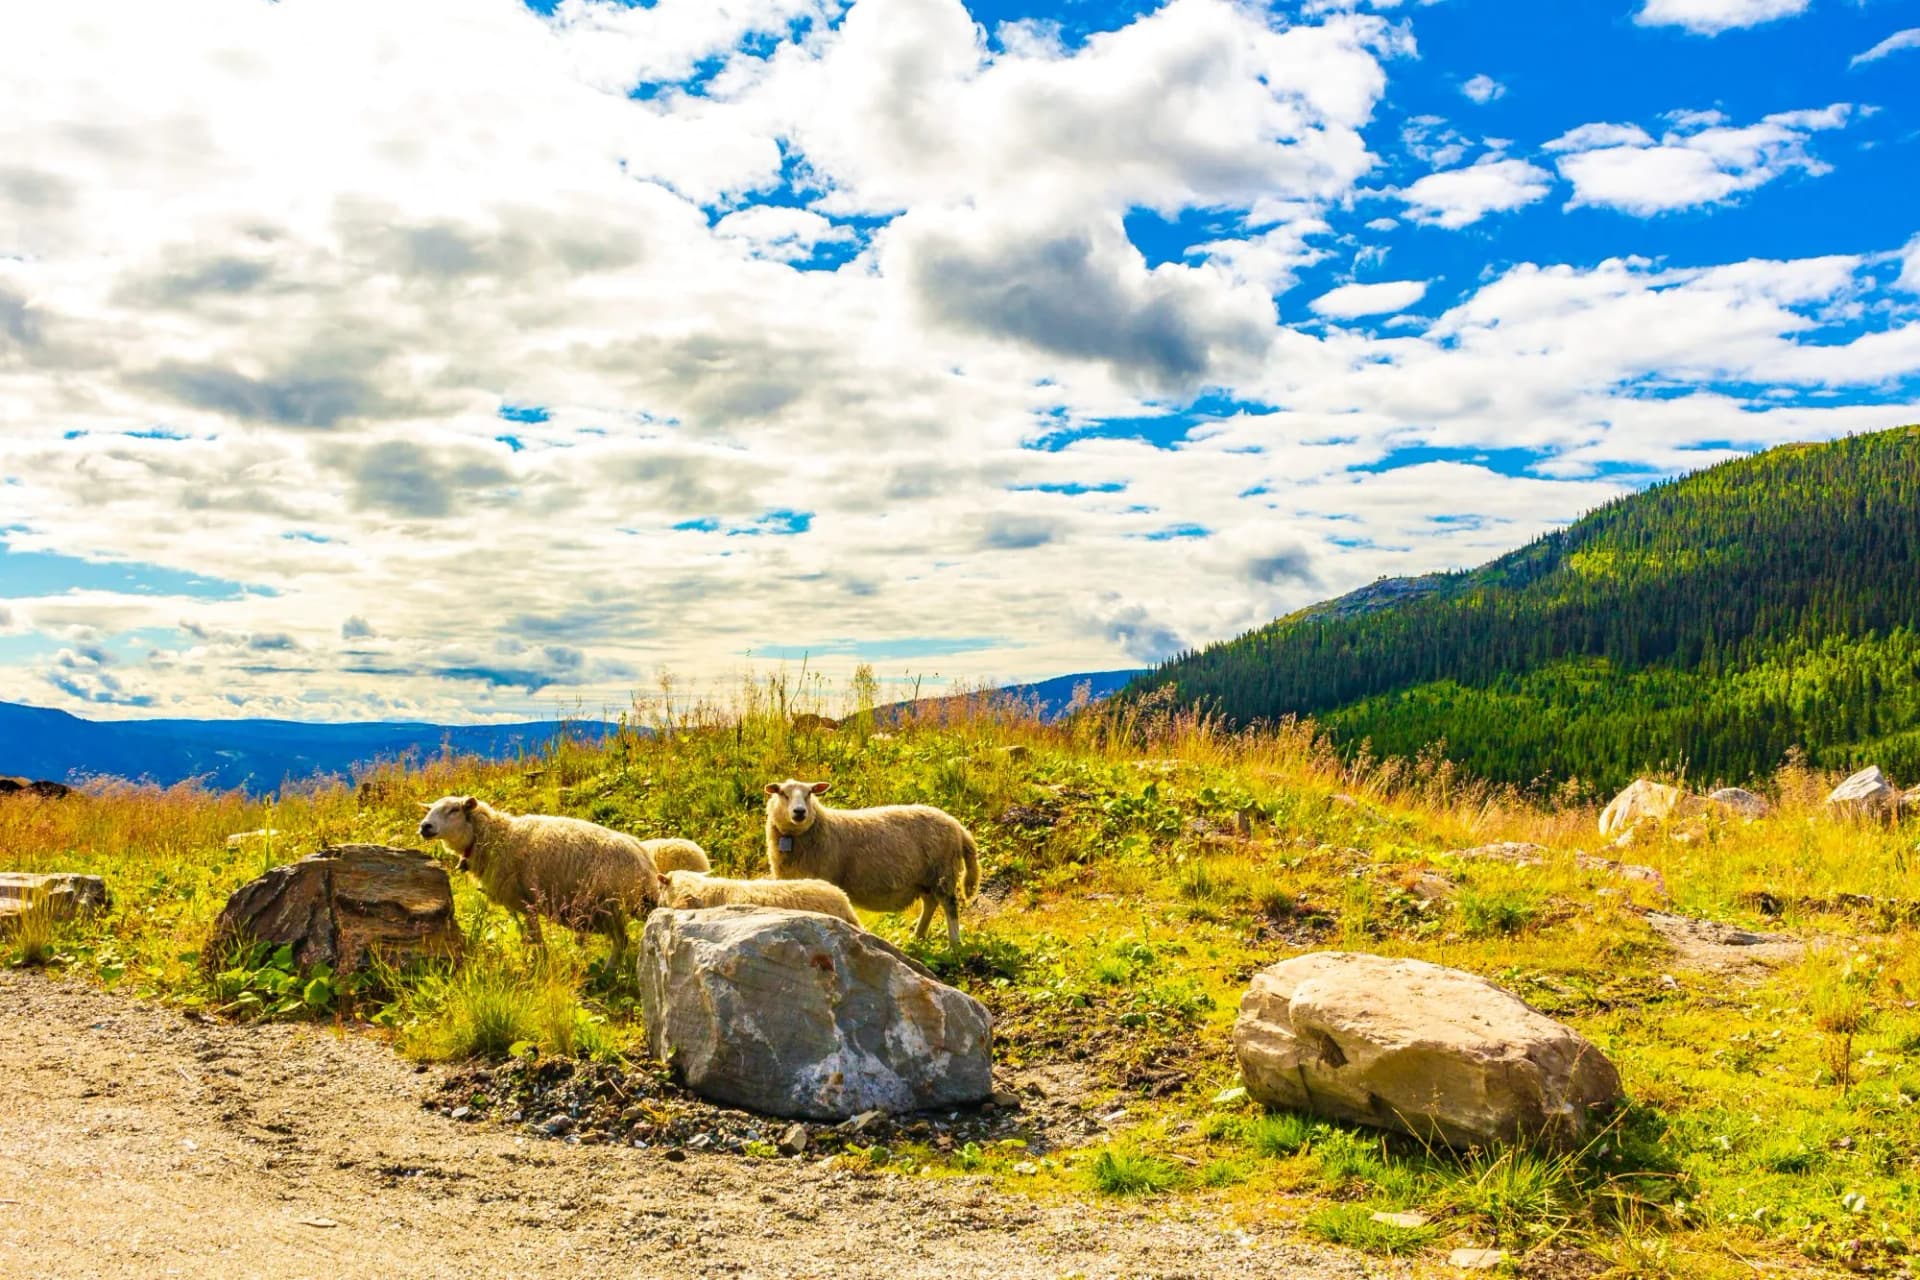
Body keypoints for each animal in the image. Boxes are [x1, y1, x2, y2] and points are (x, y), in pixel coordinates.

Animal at [417, 795, 660, 949]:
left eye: (454, 810)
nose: (424, 827)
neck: (496, 836)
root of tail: (644, 859)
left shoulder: (527, 900)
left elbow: (536, 936)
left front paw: (540, 961)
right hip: (635, 903)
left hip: (609, 906)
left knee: (621, 943)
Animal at [763, 778, 980, 949]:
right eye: (782, 793)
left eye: (809, 793)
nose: (800, 812)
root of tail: (957, 826)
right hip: (926, 878)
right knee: (930, 904)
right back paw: (917, 937)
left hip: (943, 871)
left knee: (949, 905)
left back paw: (954, 945)